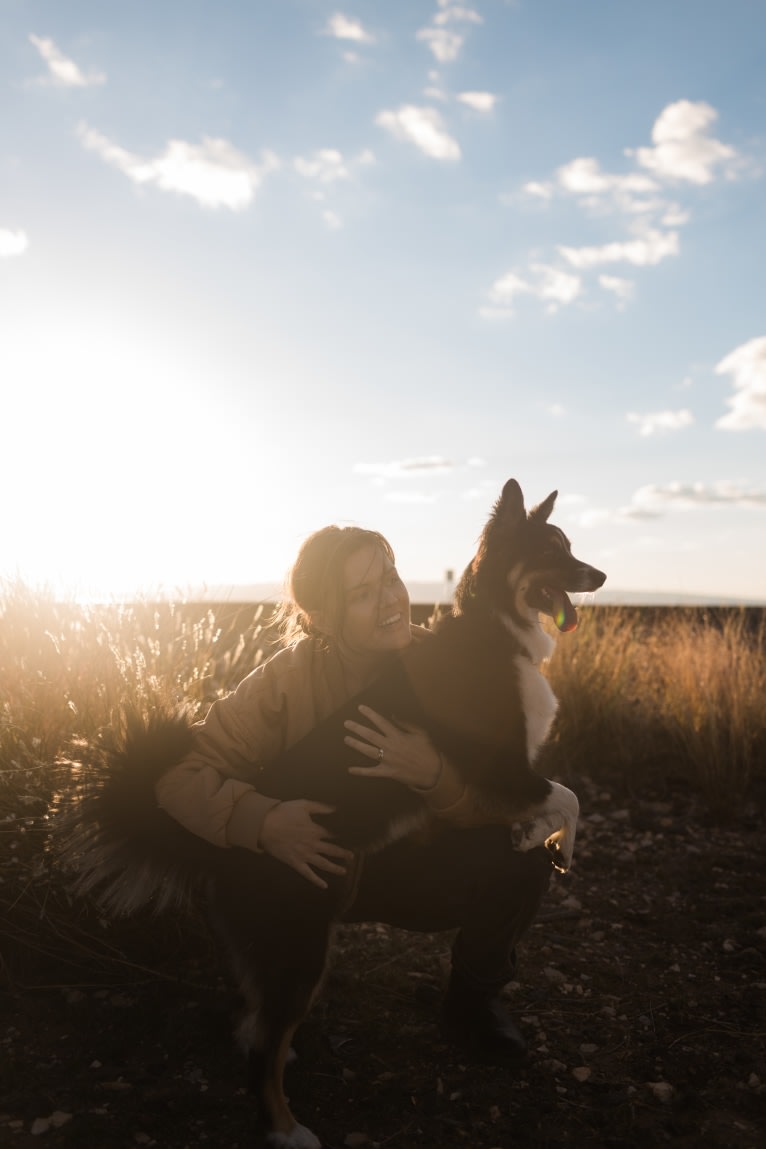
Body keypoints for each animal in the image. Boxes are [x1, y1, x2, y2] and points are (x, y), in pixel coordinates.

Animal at [58, 480, 606, 1144]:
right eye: (551, 551)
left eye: (569, 547)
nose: (602, 575)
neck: (492, 631)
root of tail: (218, 847)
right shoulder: (501, 767)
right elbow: (569, 797)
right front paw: (557, 841)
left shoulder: (504, 776)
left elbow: (552, 803)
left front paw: (531, 836)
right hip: (302, 945)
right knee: (260, 1052)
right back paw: (286, 1125)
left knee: (255, 1023)